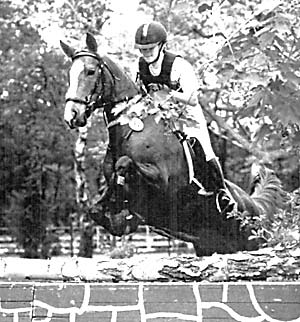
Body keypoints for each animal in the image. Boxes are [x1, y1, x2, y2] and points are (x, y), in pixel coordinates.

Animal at [59, 33, 288, 256]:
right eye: (70, 74)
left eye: (90, 71)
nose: (72, 115)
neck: (131, 130)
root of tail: (256, 206)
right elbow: (97, 208)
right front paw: (121, 220)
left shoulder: (162, 182)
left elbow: (124, 164)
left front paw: (126, 217)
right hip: (209, 249)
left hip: (253, 243)